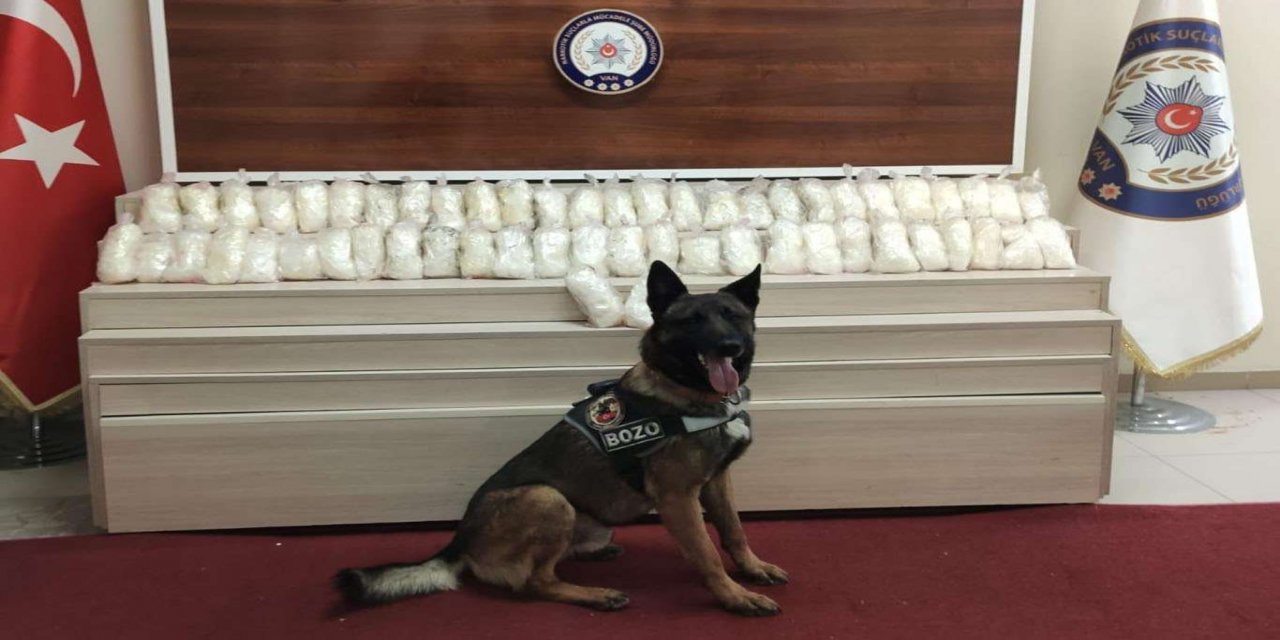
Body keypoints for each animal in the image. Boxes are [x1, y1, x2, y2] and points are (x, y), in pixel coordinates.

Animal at [334, 261, 786, 616]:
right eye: (692, 322)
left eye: (733, 316)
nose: (730, 346)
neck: (690, 394)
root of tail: (459, 540)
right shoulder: (678, 497)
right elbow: (707, 554)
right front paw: (735, 596)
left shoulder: (717, 481)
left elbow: (734, 531)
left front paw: (753, 569)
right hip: (547, 497)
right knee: (535, 582)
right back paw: (596, 595)